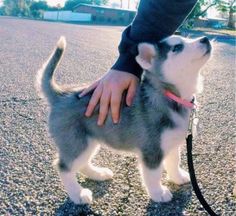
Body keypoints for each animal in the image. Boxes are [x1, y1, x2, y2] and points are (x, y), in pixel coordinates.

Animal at [36, 35, 211, 204]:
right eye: (177, 47)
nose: (205, 39)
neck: (171, 95)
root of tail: (61, 95)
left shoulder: (171, 143)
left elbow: (174, 161)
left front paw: (178, 177)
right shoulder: (152, 149)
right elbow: (153, 175)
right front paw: (158, 193)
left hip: (88, 141)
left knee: (82, 164)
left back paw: (98, 174)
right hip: (77, 142)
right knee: (63, 167)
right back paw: (77, 194)